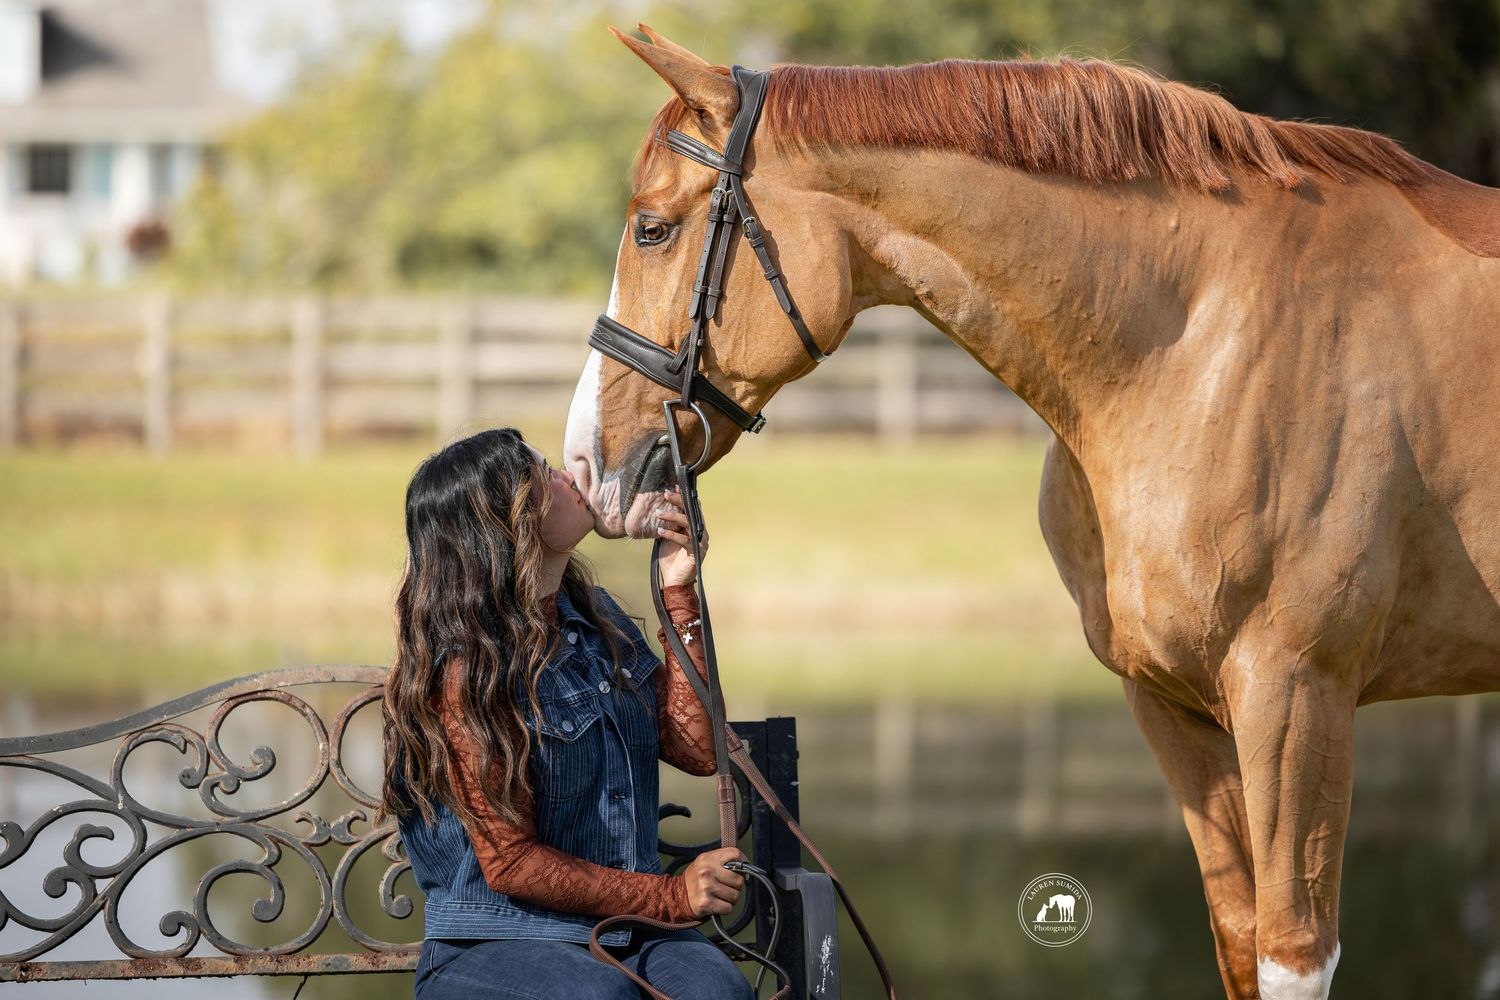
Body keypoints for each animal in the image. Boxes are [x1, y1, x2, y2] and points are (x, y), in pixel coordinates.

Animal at [562, 24, 1500, 1000]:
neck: (1201, 344)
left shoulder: (1296, 696)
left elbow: (1291, 956)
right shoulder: (1176, 710)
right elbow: (1239, 942)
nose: (585, 461)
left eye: (653, 228)